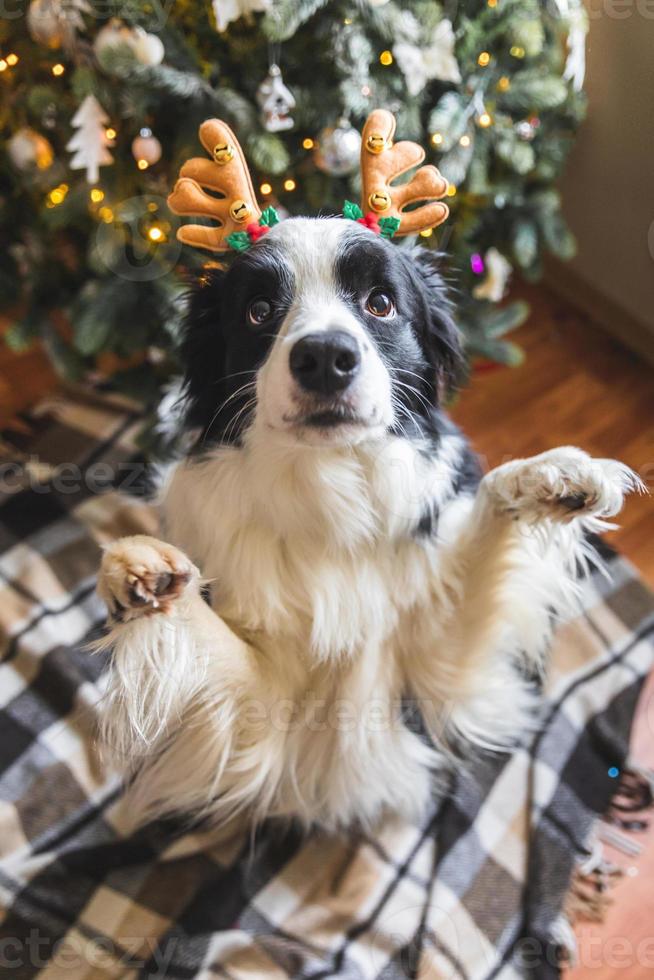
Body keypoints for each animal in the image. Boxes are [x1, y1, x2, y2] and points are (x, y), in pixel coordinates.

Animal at [97, 218, 640, 832]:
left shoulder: (443, 671)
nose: (324, 355)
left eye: (380, 303)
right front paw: (135, 569)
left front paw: (552, 474)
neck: (330, 493)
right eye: (259, 311)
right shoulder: (261, 714)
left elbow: (490, 514)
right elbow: (206, 638)